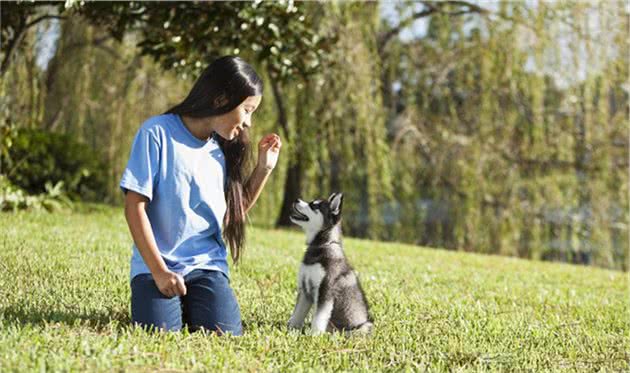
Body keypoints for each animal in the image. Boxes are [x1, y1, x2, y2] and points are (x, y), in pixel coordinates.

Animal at [288, 192, 372, 334]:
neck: (321, 246)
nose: (296, 199)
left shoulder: (325, 290)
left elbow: (319, 316)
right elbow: (298, 312)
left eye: (314, 206)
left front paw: (314, 335)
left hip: (361, 328)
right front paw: (291, 329)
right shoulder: (305, 289)